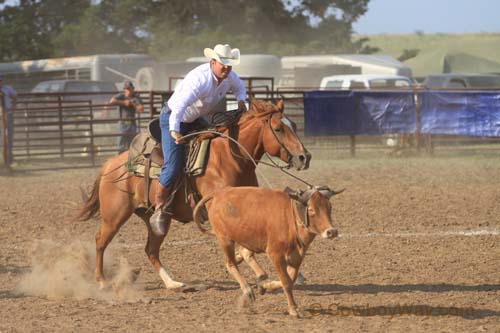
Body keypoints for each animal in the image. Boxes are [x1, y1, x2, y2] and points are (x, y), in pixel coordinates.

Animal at [78, 98, 310, 288]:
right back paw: (101, 280)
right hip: (115, 216)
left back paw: (173, 283)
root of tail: (111, 163)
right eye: (278, 128)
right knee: (100, 241)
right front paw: (260, 272)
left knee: (151, 250)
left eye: (294, 125)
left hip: (153, 220)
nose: (304, 157)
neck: (229, 158)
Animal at [193, 185, 342, 316]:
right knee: (230, 263)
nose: (332, 231)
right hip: (225, 239)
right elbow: (286, 282)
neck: (290, 218)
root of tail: (219, 193)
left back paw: (261, 277)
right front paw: (294, 309)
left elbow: (291, 278)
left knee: (246, 253)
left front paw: (266, 285)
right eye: (311, 210)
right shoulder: (275, 255)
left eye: (330, 207)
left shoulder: (297, 256)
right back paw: (247, 290)